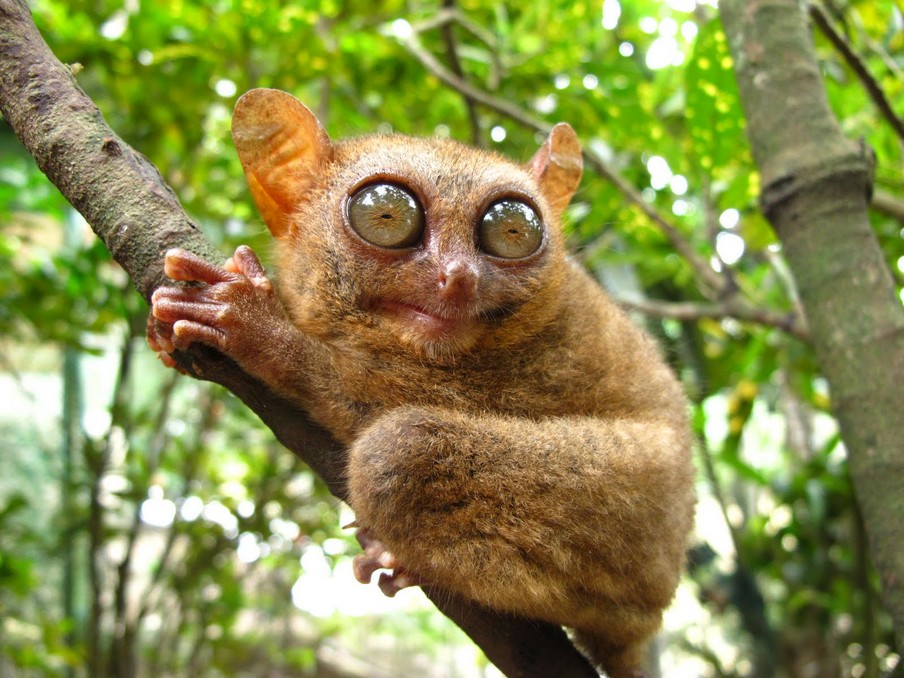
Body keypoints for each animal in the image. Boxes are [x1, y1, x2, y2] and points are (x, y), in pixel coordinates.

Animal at [147, 88, 695, 677]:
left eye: (513, 229)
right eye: (386, 214)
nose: (458, 276)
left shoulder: (544, 360)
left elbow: (381, 396)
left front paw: (252, 323)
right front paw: (164, 336)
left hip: (635, 507)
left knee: (399, 450)